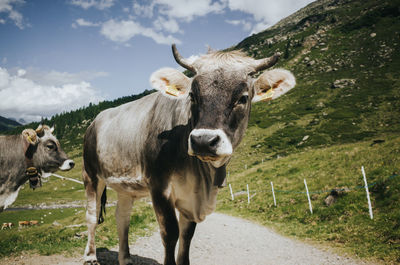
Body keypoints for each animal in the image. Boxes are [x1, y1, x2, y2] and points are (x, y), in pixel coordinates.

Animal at [83, 44, 296, 262]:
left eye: (243, 98)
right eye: (192, 95)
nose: (203, 141)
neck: (202, 178)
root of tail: (95, 121)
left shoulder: (191, 198)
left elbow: (187, 235)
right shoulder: (159, 186)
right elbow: (170, 233)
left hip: (125, 186)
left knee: (122, 216)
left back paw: (125, 258)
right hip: (91, 175)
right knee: (91, 215)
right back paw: (90, 256)